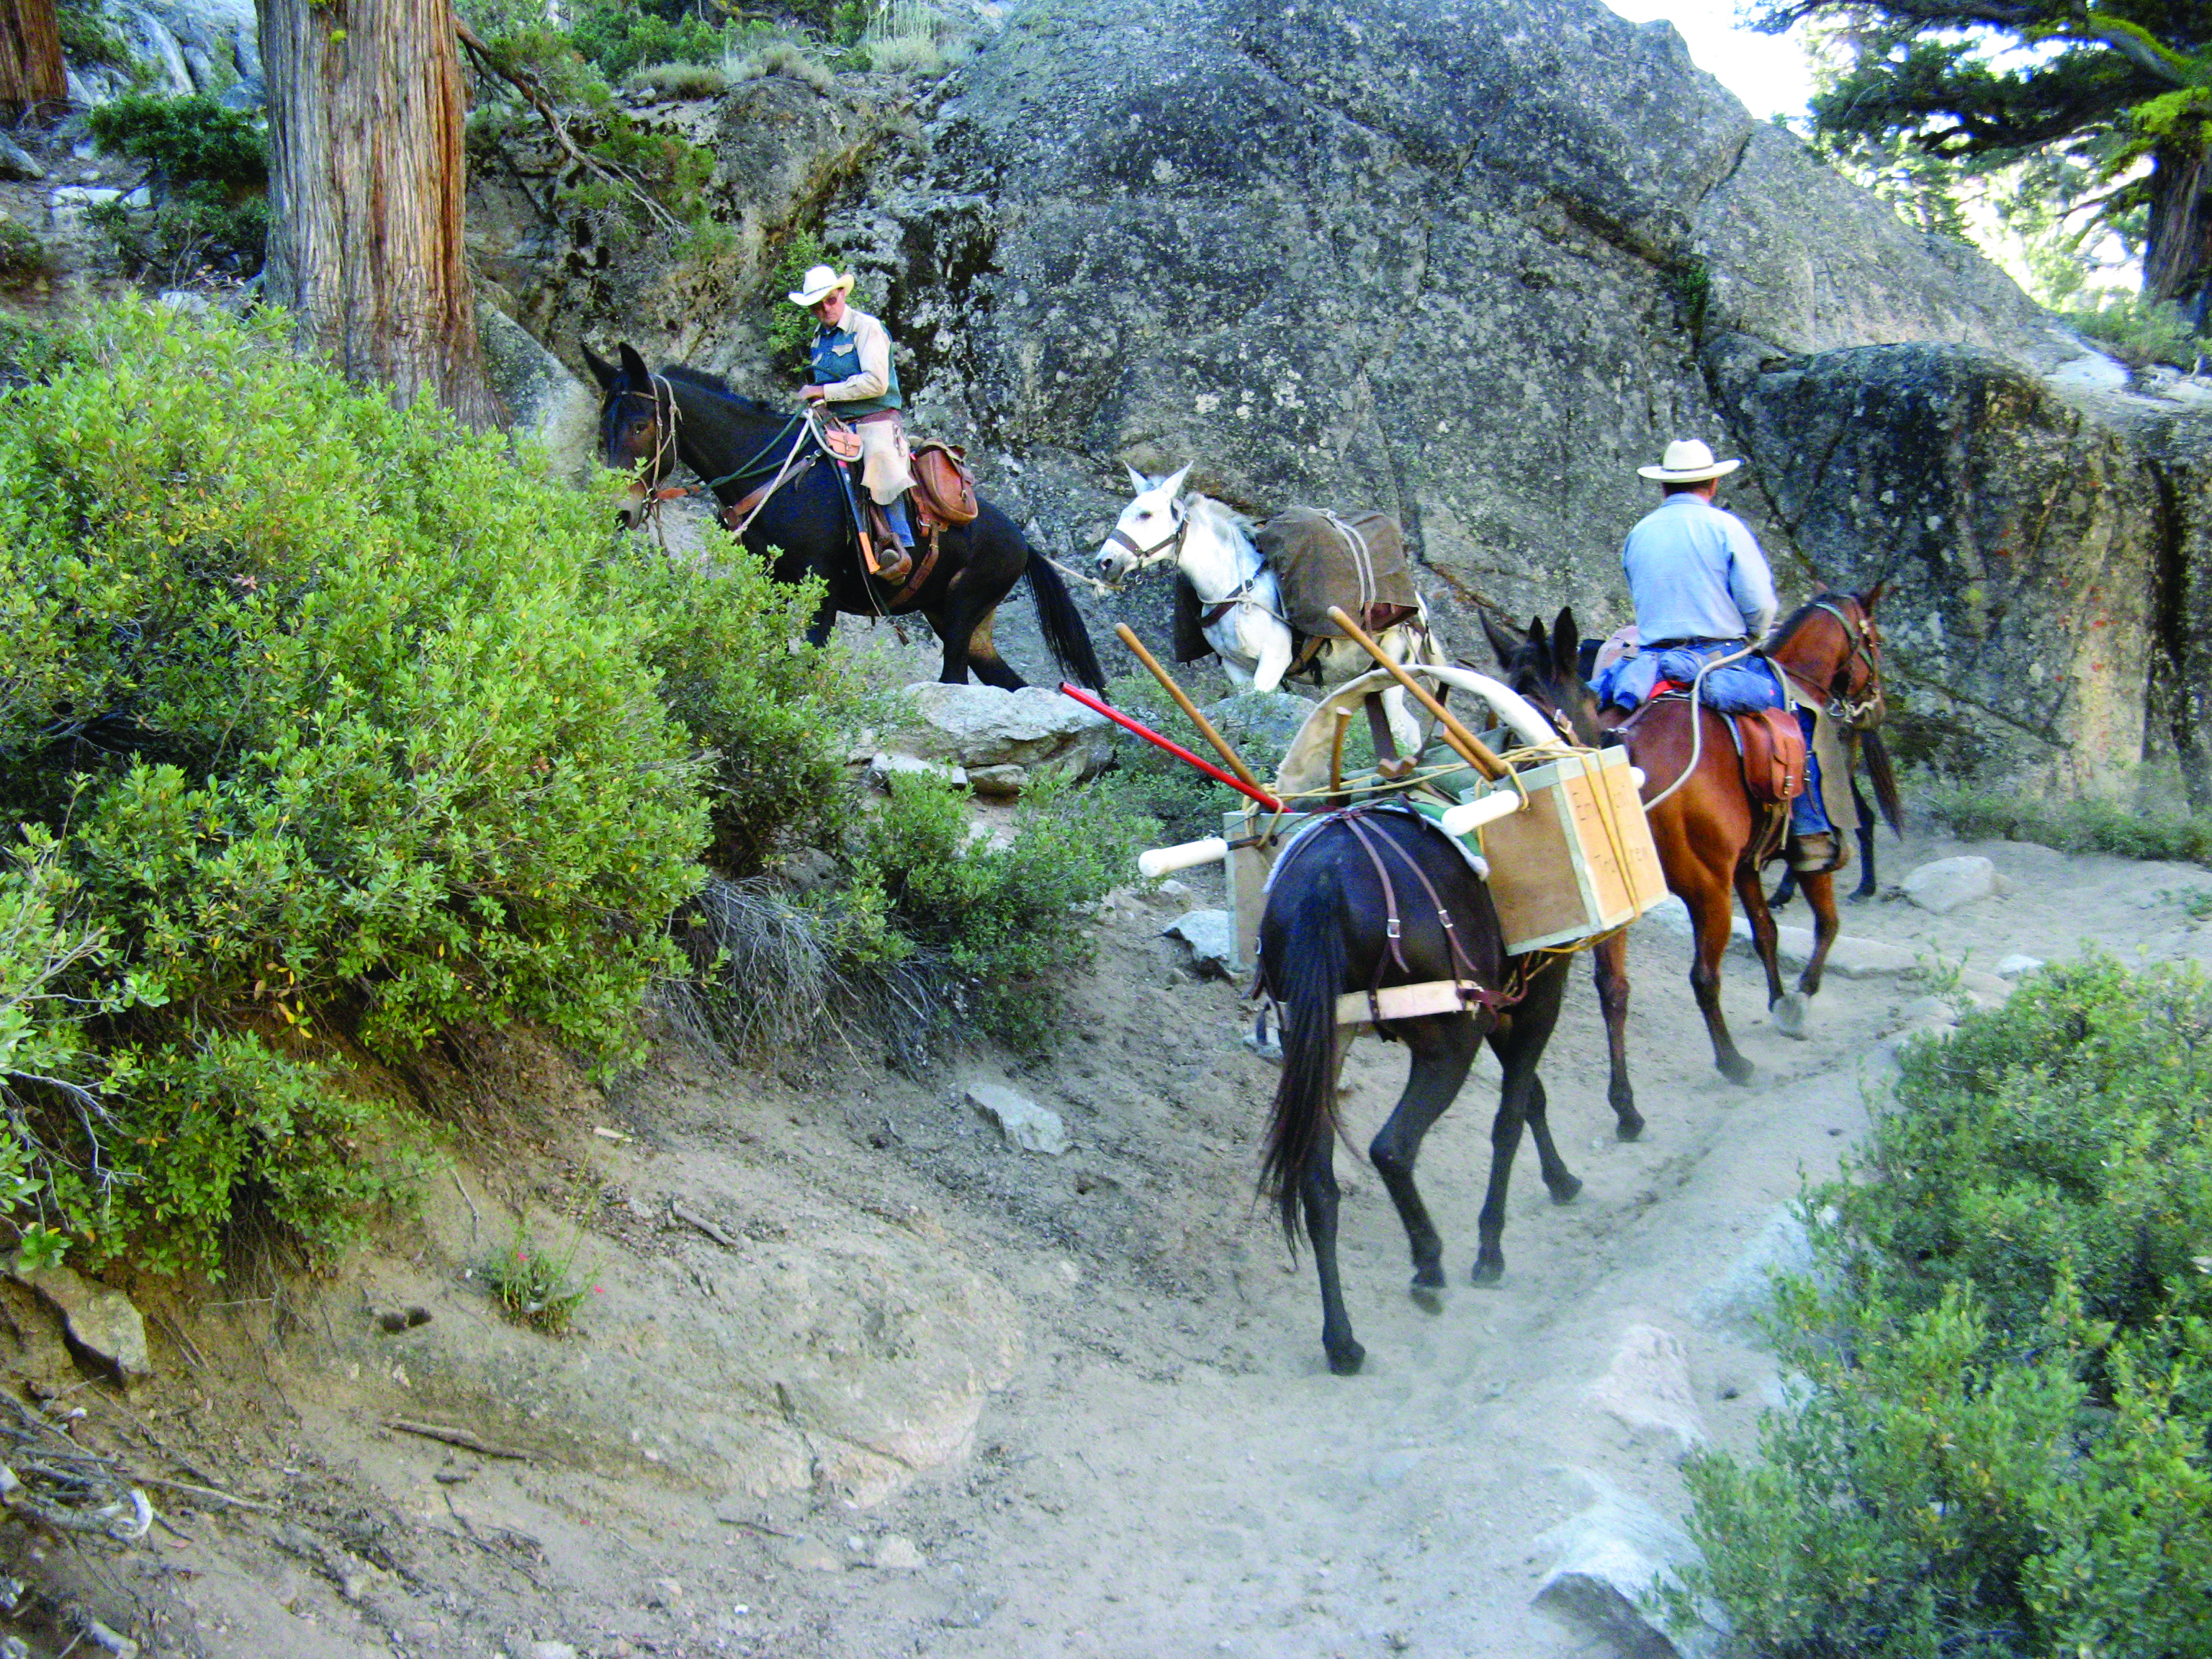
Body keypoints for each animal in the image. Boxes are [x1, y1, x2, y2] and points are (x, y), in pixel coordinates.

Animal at [1486, 593, 1884, 1123]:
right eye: (1874, 640)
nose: (1876, 706)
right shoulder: (1792, 850)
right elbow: (1825, 922)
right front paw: (1798, 999)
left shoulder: (1742, 866)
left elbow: (1766, 933)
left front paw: (1779, 996)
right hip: (1707, 888)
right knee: (1704, 976)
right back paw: (1732, 1061)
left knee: (1614, 988)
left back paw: (1627, 1107)